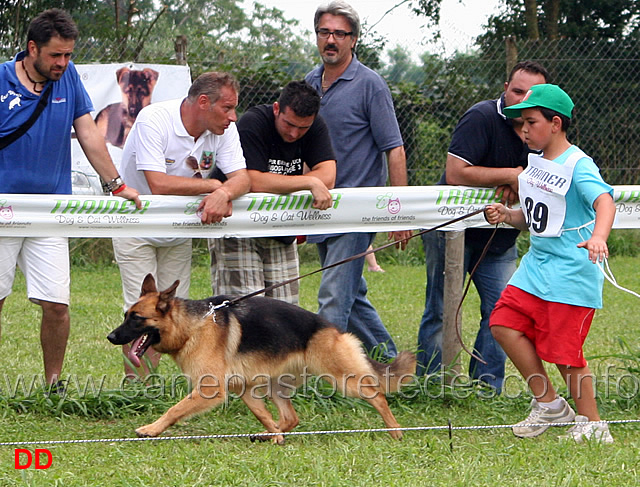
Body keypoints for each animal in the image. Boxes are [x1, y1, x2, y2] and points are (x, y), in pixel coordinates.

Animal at [106, 276, 416, 444]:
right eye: (125, 315)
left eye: (136, 318)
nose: (110, 337)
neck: (193, 325)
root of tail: (333, 329)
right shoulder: (242, 389)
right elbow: (263, 416)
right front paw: (274, 436)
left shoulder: (210, 389)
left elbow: (174, 410)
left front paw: (151, 429)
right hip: (273, 386)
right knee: (289, 418)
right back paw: (272, 436)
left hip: (342, 378)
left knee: (378, 396)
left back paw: (396, 432)